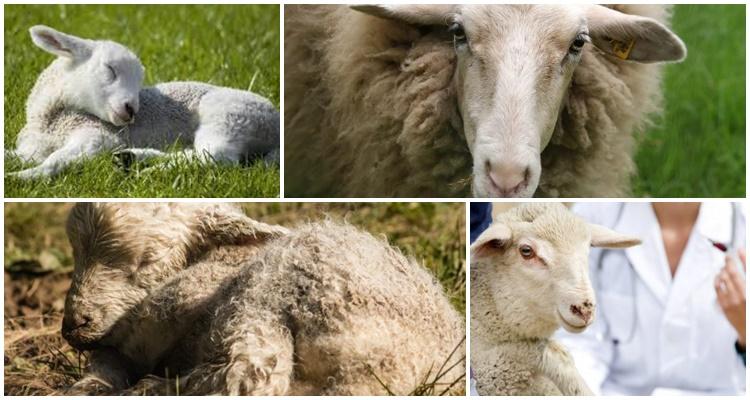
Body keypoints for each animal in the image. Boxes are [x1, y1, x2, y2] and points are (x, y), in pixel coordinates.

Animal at [7, 26, 279, 180]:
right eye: (110, 69)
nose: (131, 109)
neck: (49, 122)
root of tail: (275, 125)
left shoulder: (98, 136)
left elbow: (55, 161)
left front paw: (20, 177)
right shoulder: (31, 148)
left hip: (230, 118)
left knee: (216, 157)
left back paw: (152, 171)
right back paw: (133, 158)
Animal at [62, 203, 465, 395]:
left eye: (147, 260)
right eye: (75, 253)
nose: (72, 326)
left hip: (263, 296)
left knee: (249, 379)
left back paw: (153, 387)